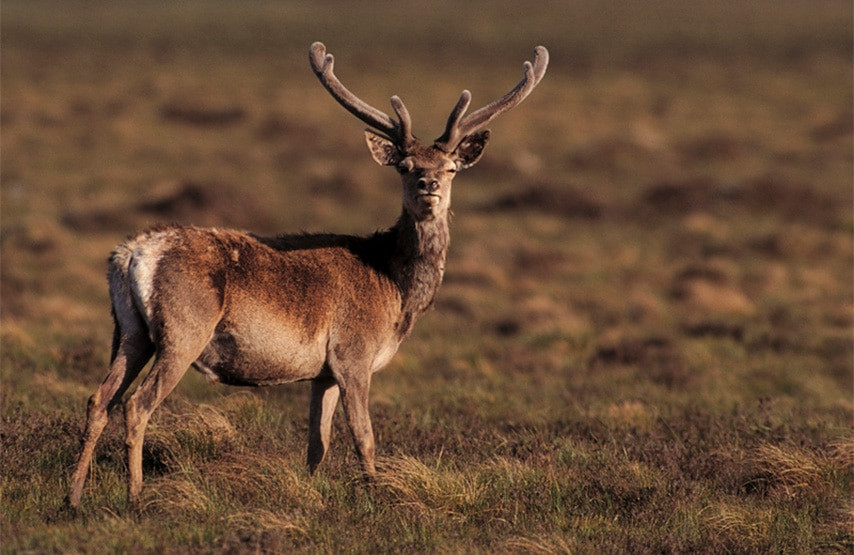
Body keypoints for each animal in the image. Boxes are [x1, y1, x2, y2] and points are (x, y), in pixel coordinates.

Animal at [65, 41, 548, 509]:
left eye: (450, 168)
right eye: (405, 166)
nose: (428, 185)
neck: (395, 292)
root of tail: (130, 253)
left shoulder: (322, 372)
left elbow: (317, 444)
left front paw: (311, 495)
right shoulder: (353, 353)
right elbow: (364, 437)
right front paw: (377, 496)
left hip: (130, 331)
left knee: (99, 399)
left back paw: (73, 497)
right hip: (183, 329)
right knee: (136, 404)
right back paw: (135, 497)